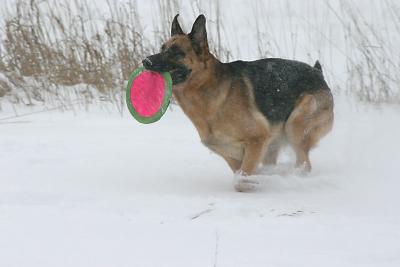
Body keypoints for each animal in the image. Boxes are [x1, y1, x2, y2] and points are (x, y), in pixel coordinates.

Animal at [142, 14, 332, 192]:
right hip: (274, 143)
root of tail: (317, 73)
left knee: (304, 165)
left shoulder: (257, 140)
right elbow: (240, 175)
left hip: (295, 126)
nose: (145, 62)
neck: (207, 91)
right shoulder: (233, 154)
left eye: (175, 52)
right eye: (162, 48)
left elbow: (242, 181)